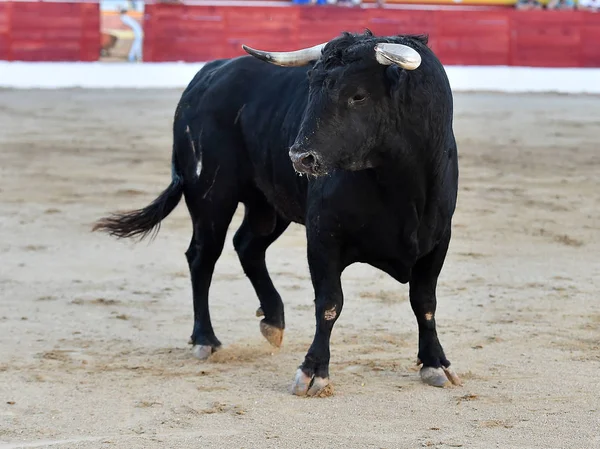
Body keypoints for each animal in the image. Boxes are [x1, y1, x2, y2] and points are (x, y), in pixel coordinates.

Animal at [94, 30, 462, 396]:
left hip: (267, 206)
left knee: (247, 246)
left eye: (358, 95)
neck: (399, 183)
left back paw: (272, 320)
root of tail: (208, 74)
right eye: (311, 88)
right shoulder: (323, 236)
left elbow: (424, 301)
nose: (300, 157)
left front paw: (435, 363)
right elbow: (329, 303)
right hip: (210, 197)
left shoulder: (438, 239)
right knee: (202, 257)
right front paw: (313, 371)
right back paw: (205, 339)